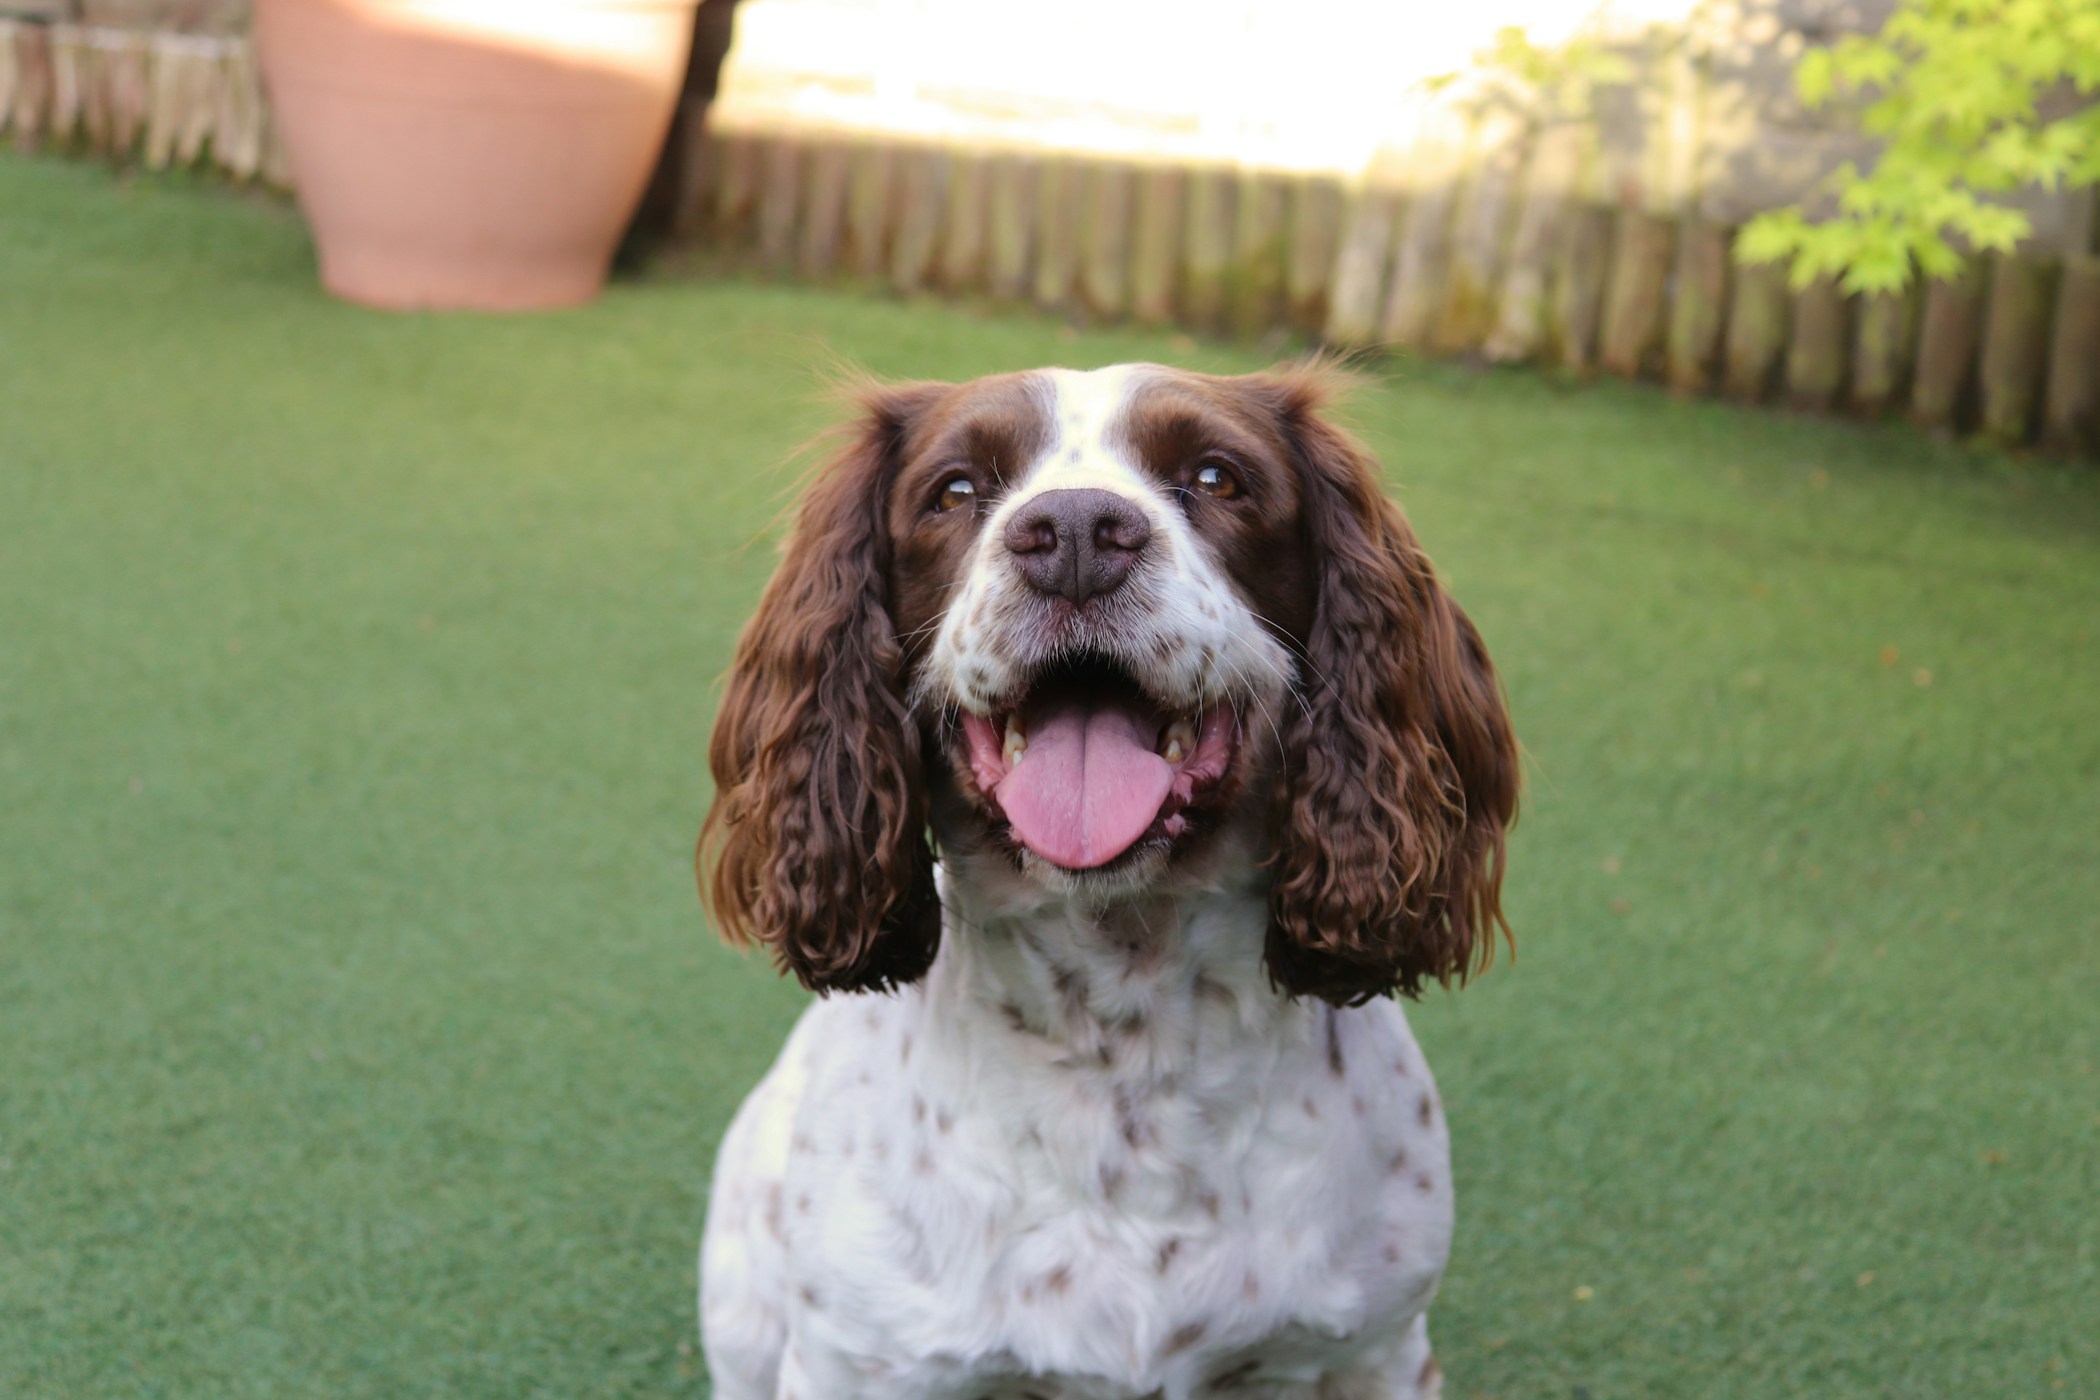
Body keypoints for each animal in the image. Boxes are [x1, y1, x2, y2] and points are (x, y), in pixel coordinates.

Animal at [697, 365, 1520, 1400]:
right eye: (955, 490)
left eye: (1215, 476)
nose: (1078, 532)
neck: (1125, 1039)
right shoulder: (862, 1364)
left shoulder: (1374, 1354)